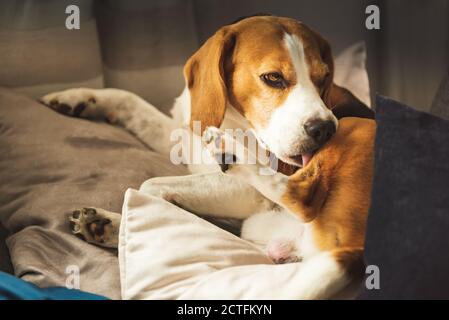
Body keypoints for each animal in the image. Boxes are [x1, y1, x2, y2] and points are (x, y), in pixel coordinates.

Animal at [39, 15, 374, 300]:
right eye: (273, 78)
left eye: (324, 78)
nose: (325, 129)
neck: (231, 120)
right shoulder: (181, 137)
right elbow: (129, 100)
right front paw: (80, 98)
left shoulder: (250, 192)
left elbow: (150, 186)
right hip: (257, 228)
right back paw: (104, 224)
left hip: (351, 133)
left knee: (299, 197)